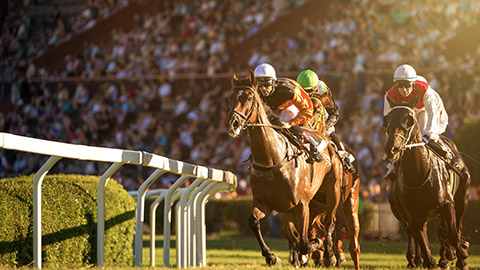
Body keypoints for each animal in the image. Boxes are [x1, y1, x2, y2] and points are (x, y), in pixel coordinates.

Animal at [227, 70, 344, 266]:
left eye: (250, 98)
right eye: (230, 97)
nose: (233, 124)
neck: (271, 159)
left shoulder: (301, 204)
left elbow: (304, 243)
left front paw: (314, 247)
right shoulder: (265, 202)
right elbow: (253, 222)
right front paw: (271, 256)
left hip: (332, 190)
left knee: (330, 222)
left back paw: (330, 255)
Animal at [384, 95, 470, 270]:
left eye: (409, 120)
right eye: (387, 119)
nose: (392, 149)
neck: (419, 175)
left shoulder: (447, 204)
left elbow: (452, 234)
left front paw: (461, 255)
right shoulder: (411, 216)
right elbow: (422, 241)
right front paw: (430, 261)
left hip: (462, 197)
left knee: (454, 228)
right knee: (420, 233)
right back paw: (419, 259)